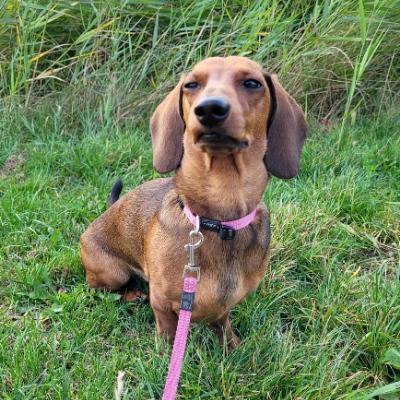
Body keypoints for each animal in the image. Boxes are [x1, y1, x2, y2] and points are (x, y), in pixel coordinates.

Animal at [80, 56, 307, 348]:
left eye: (252, 83)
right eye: (191, 84)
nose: (210, 109)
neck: (219, 222)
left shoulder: (222, 306)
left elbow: (223, 326)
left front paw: (232, 348)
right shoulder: (162, 304)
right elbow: (169, 335)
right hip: (111, 274)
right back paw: (131, 294)